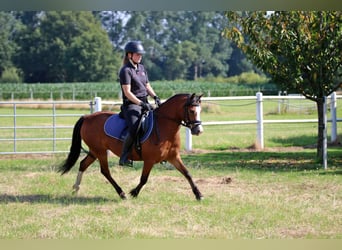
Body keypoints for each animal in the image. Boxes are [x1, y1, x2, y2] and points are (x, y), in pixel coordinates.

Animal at [57, 93, 204, 200]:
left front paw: (198, 194)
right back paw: (121, 193)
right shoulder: (149, 160)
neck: (164, 126)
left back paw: (76, 188)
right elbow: (144, 179)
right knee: (105, 171)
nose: (198, 130)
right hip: (100, 151)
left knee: (83, 164)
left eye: (200, 110)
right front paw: (134, 192)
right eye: (192, 111)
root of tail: (87, 117)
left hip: (94, 151)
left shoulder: (174, 157)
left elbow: (187, 173)